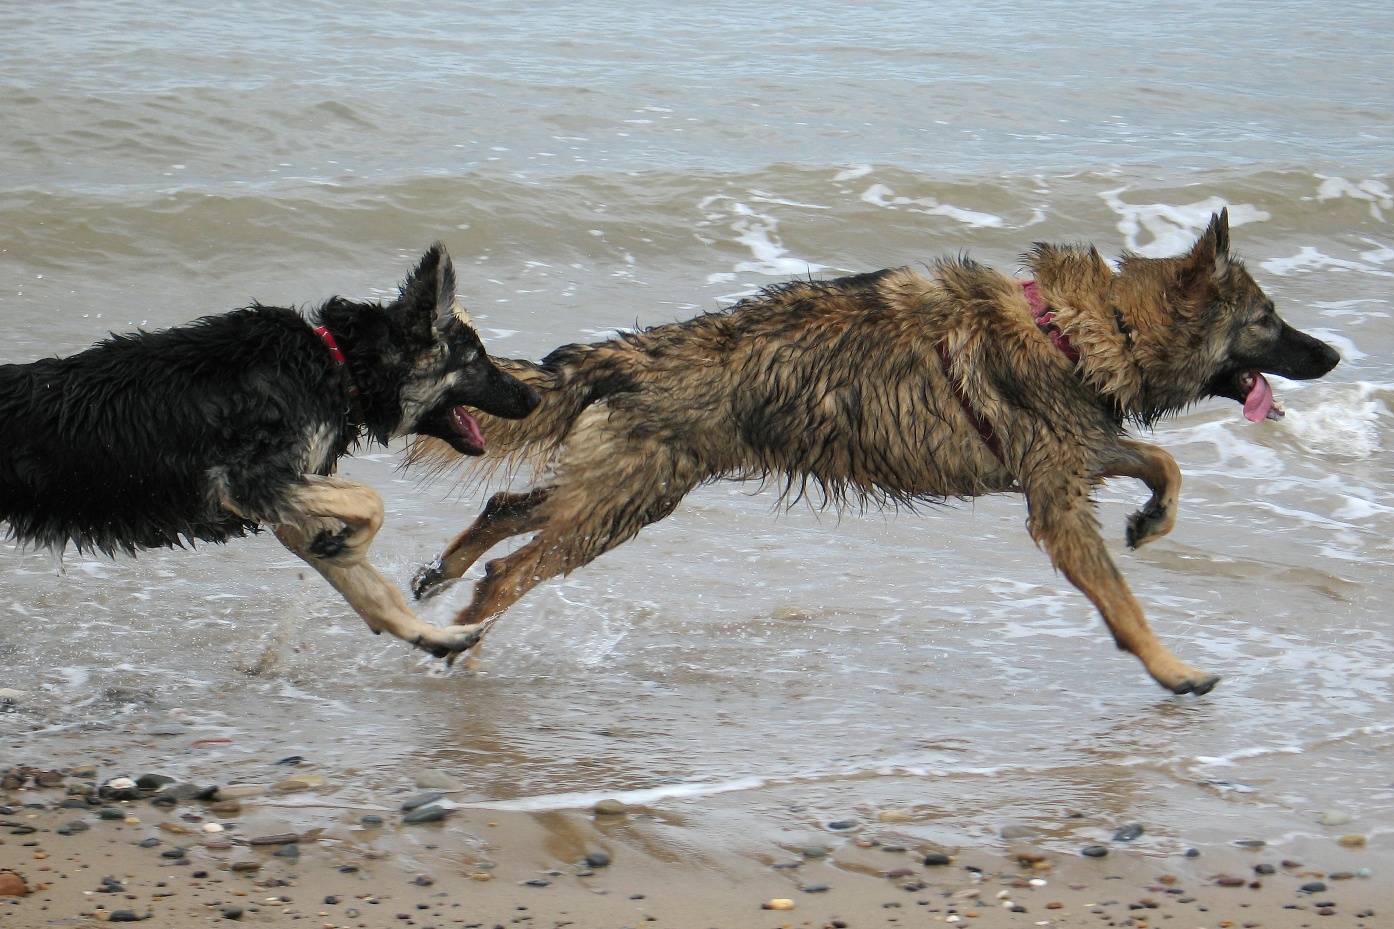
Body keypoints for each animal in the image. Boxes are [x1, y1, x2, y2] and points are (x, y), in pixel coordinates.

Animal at [0, 242, 535, 655]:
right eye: (478, 359)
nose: (533, 399)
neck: (338, 362)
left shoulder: (288, 507)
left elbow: (369, 585)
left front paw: (429, 635)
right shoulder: (250, 481)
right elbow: (371, 500)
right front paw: (353, 543)